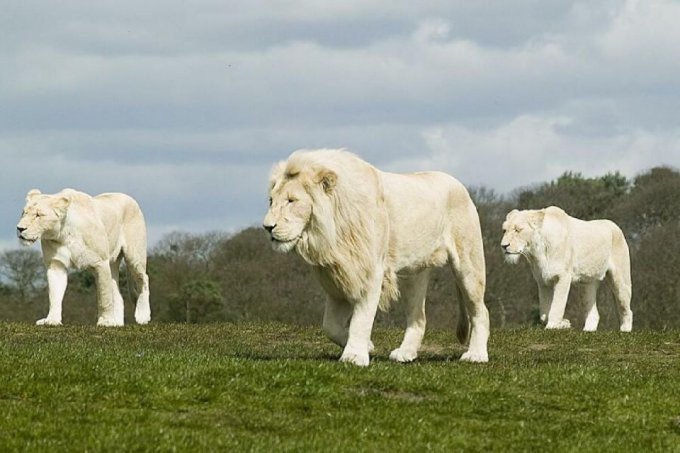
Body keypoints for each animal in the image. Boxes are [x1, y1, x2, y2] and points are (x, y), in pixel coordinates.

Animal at [16, 187, 150, 324]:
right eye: (23, 213)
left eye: (38, 215)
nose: (19, 228)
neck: (63, 234)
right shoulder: (56, 264)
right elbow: (54, 295)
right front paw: (52, 320)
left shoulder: (101, 263)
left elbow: (104, 296)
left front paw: (105, 321)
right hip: (112, 263)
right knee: (117, 293)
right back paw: (117, 323)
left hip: (134, 256)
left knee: (143, 279)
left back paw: (142, 315)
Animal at [262, 150, 488, 366]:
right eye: (272, 201)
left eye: (292, 201)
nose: (267, 227)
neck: (330, 234)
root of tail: (459, 185)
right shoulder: (340, 277)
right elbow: (330, 326)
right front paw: (368, 346)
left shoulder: (368, 271)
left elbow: (361, 319)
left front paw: (354, 356)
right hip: (413, 273)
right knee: (418, 318)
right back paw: (405, 353)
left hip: (468, 263)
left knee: (480, 311)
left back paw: (476, 355)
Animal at [500, 207, 632, 330]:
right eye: (504, 230)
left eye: (518, 230)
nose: (504, 246)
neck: (537, 252)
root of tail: (615, 225)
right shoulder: (543, 281)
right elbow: (544, 313)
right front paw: (564, 324)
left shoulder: (563, 276)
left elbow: (557, 306)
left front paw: (552, 326)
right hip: (587, 284)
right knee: (594, 313)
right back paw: (587, 331)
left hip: (620, 279)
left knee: (626, 309)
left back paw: (624, 331)